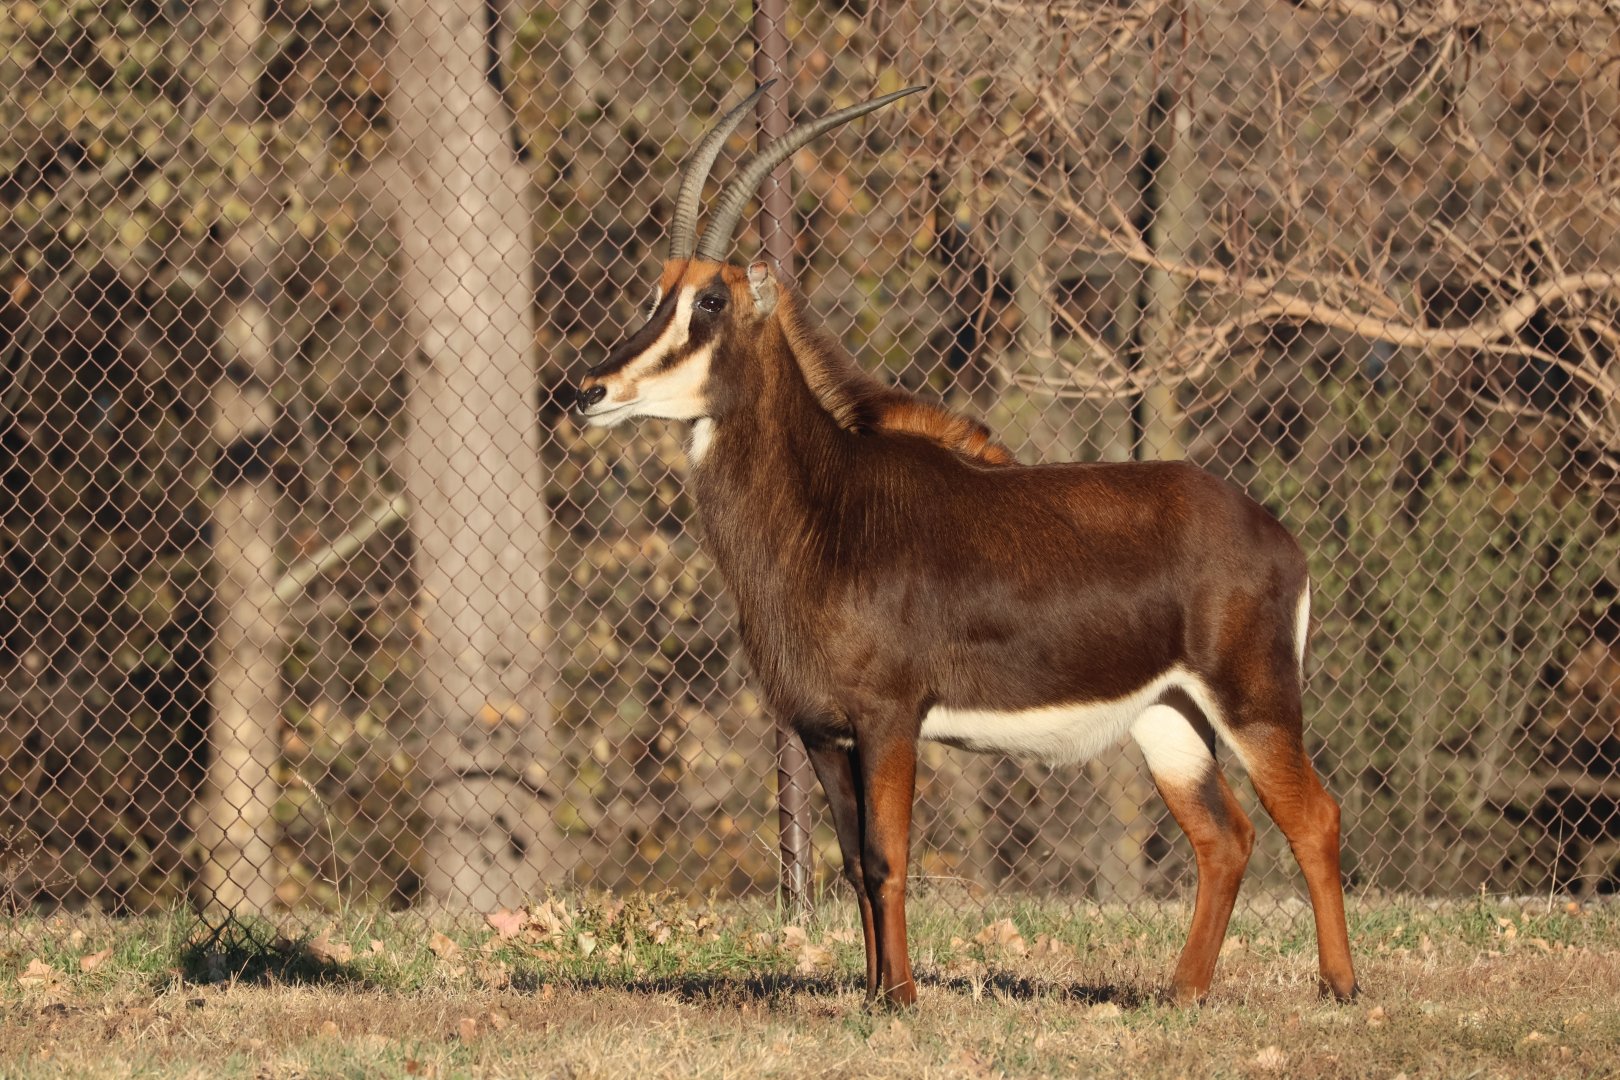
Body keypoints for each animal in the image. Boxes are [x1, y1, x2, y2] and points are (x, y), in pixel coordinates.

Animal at [571, 84, 1359, 1007]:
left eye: (711, 302)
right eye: (658, 291)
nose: (590, 389)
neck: (827, 505)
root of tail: (1277, 538)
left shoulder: (889, 718)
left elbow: (887, 857)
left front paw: (903, 998)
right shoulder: (821, 731)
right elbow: (852, 865)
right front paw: (873, 993)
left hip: (1253, 702)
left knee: (1313, 818)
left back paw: (1341, 988)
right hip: (1170, 719)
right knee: (1224, 837)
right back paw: (1181, 993)